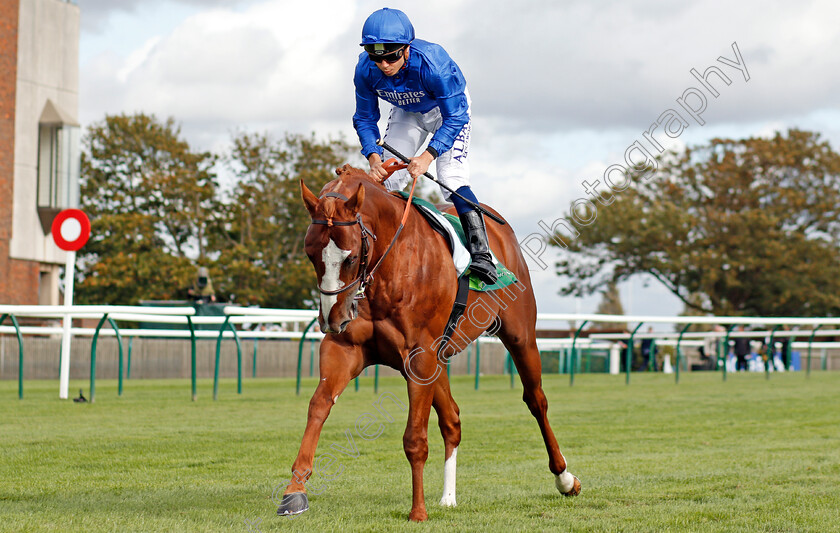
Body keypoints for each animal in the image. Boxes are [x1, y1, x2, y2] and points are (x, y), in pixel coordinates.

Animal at [278, 163, 580, 520]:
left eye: (350, 258)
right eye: (311, 254)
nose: (331, 319)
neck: (391, 266)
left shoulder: (420, 357)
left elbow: (415, 438)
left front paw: (417, 510)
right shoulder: (346, 349)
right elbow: (319, 406)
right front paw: (295, 490)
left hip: (520, 335)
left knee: (536, 401)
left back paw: (564, 478)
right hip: (441, 358)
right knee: (452, 420)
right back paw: (448, 496)